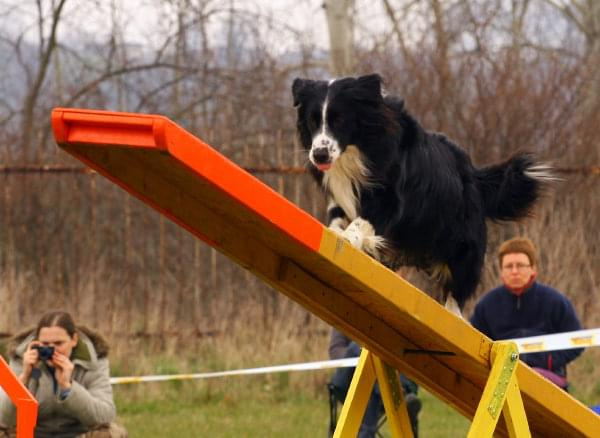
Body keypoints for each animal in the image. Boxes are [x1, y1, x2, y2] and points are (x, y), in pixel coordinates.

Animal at [290, 73, 548, 312]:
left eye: (340, 120)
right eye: (312, 122)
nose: (319, 155)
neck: (356, 150)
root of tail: (475, 176)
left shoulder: (390, 188)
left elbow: (368, 216)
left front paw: (348, 238)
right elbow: (338, 212)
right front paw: (335, 231)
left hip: (462, 243)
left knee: (457, 290)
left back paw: (452, 313)